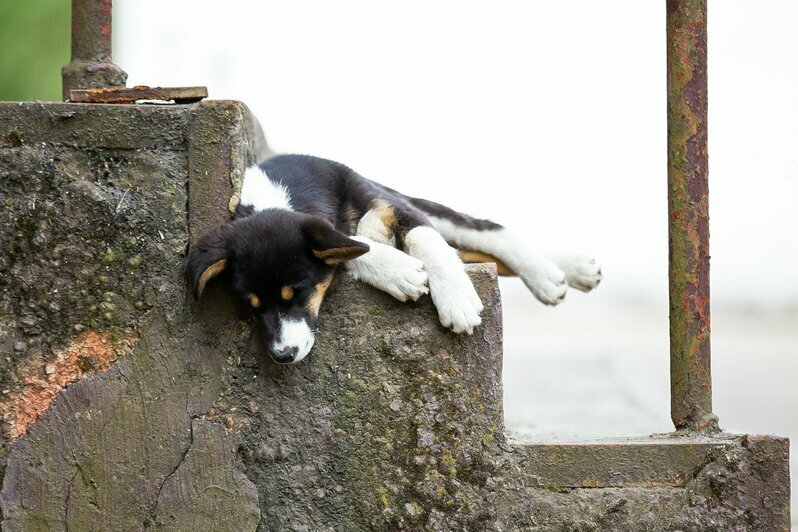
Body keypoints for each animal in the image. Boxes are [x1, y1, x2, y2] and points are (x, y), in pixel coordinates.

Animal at [186, 152, 600, 364]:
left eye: (298, 294)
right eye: (250, 306)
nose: (282, 356)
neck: (277, 196)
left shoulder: (395, 209)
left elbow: (424, 243)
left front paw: (456, 301)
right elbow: (354, 245)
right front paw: (398, 271)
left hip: (413, 202)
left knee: (487, 232)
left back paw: (549, 275)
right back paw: (571, 271)